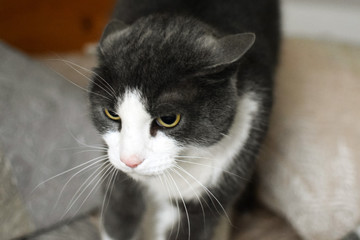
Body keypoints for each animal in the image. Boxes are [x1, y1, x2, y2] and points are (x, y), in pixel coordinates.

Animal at [88, 0, 280, 239]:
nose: (130, 160)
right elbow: (120, 213)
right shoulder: (117, 173)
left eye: (169, 119)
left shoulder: (214, 186)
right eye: (112, 113)